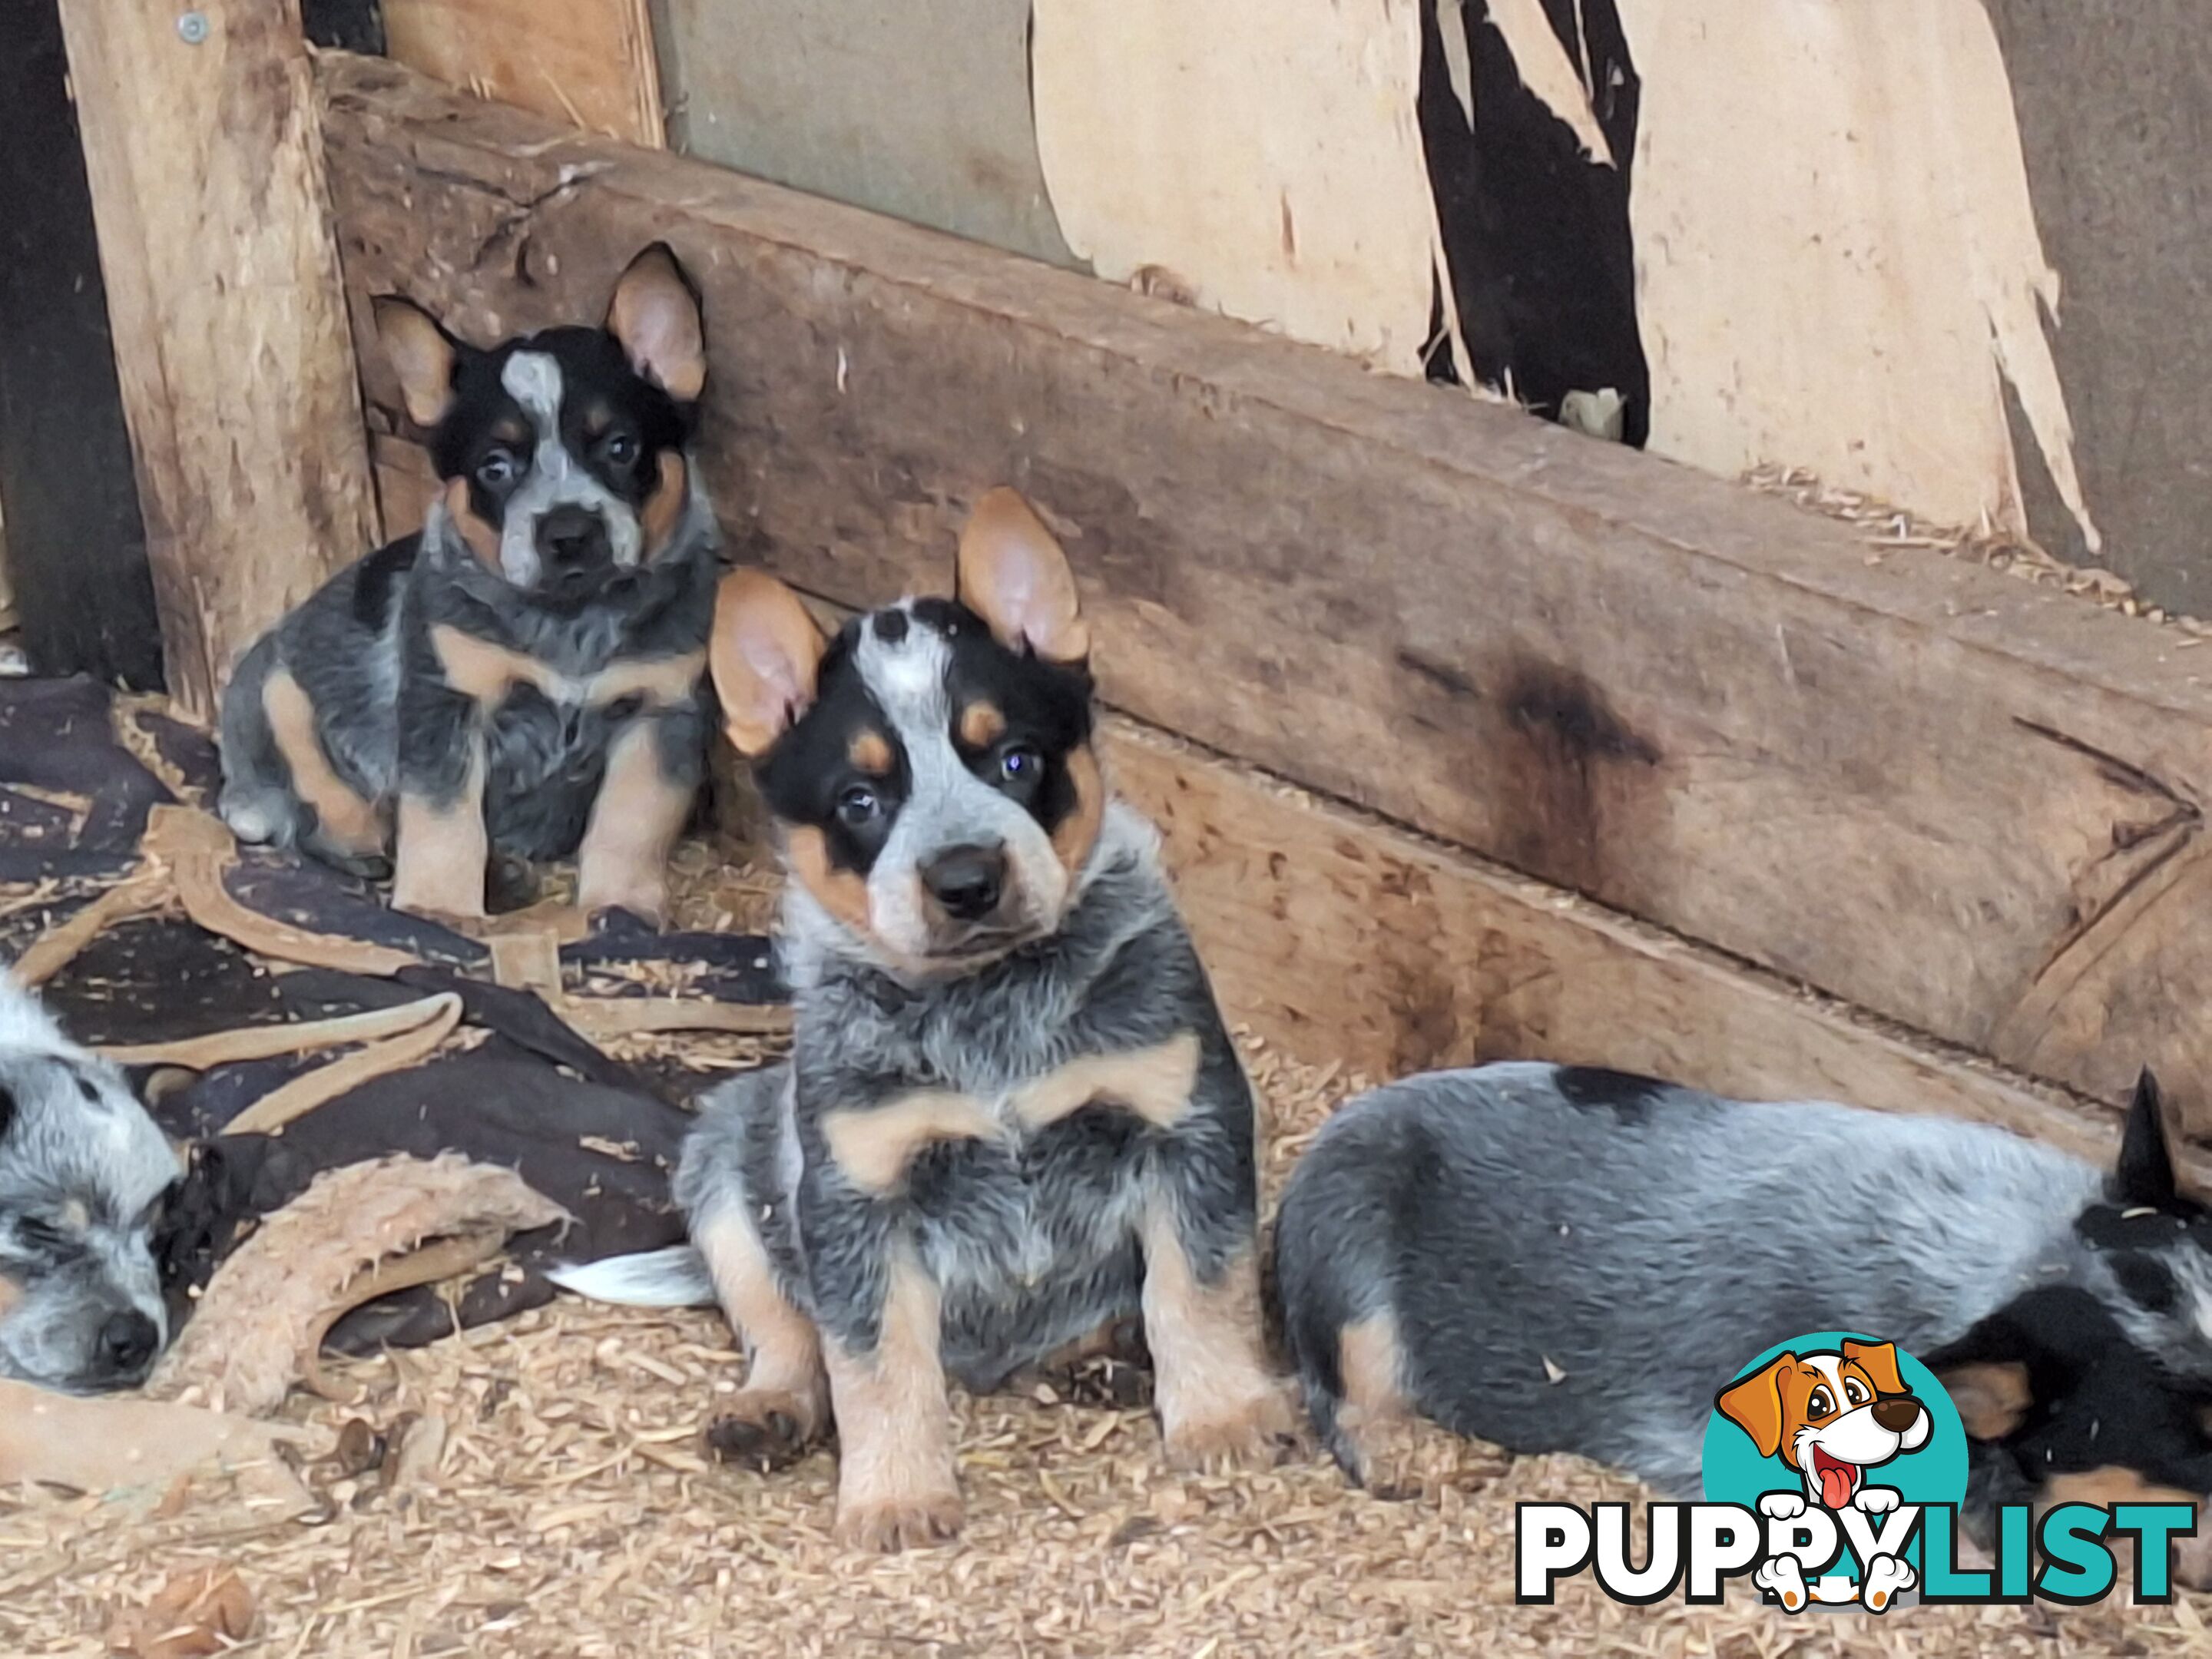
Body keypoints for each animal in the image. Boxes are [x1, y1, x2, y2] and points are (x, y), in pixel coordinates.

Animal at [219, 245, 717, 929]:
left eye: (620, 447)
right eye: (495, 467)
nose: (569, 531)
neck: (572, 624)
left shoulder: (661, 710)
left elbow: (632, 822)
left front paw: (620, 907)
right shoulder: (446, 704)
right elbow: (443, 821)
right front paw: (438, 907)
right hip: (273, 692)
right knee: (319, 810)